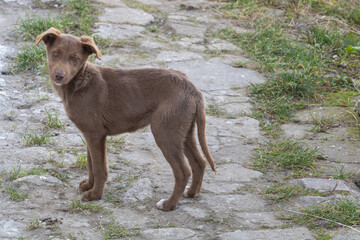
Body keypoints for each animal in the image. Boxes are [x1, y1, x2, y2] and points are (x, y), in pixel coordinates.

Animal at [35, 27, 217, 210]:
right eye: (56, 53)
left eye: (75, 58)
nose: (59, 76)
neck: (80, 82)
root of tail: (193, 90)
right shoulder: (90, 134)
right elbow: (90, 163)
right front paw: (88, 185)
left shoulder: (95, 134)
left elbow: (100, 168)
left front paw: (95, 195)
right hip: (184, 132)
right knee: (199, 163)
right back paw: (192, 193)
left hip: (165, 132)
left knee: (183, 171)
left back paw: (168, 204)